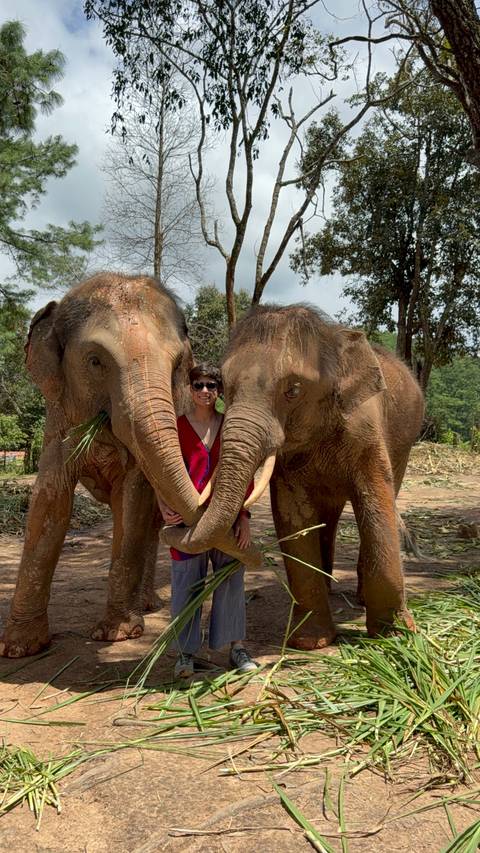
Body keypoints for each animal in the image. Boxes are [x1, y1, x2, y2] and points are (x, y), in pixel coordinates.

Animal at [0, 272, 211, 658]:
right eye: (95, 361)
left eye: (176, 365)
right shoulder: (58, 420)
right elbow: (49, 502)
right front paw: (18, 647)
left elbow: (133, 497)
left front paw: (118, 634)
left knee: (147, 519)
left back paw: (145, 607)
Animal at [162, 304, 425, 650]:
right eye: (225, 386)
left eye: (294, 390)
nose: (171, 529)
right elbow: (294, 516)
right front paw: (310, 642)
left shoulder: (366, 429)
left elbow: (376, 504)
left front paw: (395, 637)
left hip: (404, 444)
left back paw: (360, 598)